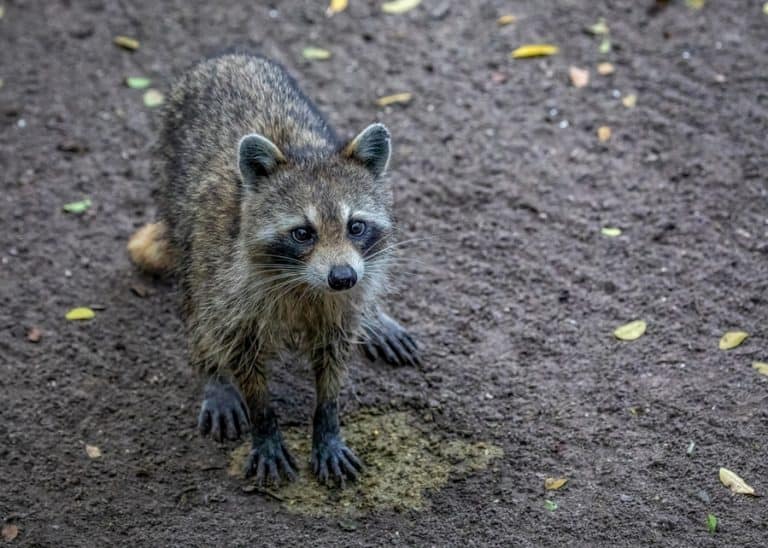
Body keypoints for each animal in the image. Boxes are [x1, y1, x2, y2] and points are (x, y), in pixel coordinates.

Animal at [130, 53, 420, 486]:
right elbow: (240, 353)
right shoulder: (229, 281)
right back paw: (212, 372)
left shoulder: (343, 299)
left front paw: (327, 422)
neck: (307, 285)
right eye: (303, 233)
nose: (343, 277)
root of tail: (225, 58)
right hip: (177, 202)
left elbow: (334, 358)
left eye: (355, 226)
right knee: (197, 302)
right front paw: (263, 424)